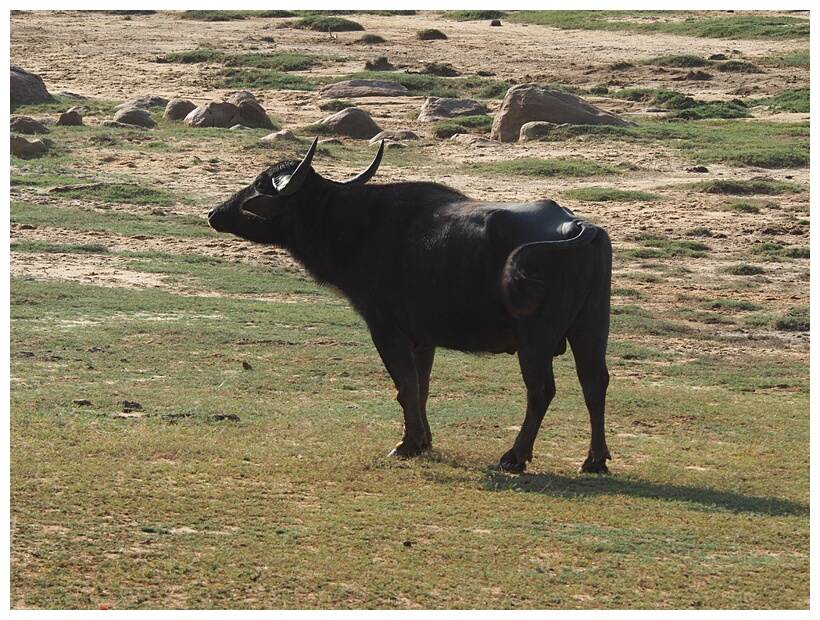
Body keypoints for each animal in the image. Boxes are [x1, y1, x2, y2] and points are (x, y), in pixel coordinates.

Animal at [208, 138, 612, 472]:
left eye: (261, 184)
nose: (214, 212)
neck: (357, 227)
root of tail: (580, 226)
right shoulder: (423, 339)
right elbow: (421, 386)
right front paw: (424, 440)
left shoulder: (386, 329)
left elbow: (404, 385)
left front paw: (407, 444)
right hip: (592, 326)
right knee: (594, 382)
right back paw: (594, 460)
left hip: (535, 337)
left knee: (541, 389)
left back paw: (514, 456)